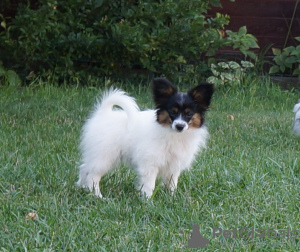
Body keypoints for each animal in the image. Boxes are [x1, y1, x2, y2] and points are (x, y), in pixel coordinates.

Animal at [77, 78, 213, 198]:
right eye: (172, 112)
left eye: (189, 114)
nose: (180, 126)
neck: (173, 134)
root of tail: (103, 113)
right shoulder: (150, 164)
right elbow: (149, 185)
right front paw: (147, 201)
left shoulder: (174, 166)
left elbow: (172, 184)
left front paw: (172, 198)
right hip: (105, 156)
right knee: (93, 175)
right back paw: (97, 196)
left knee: (84, 168)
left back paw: (82, 188)